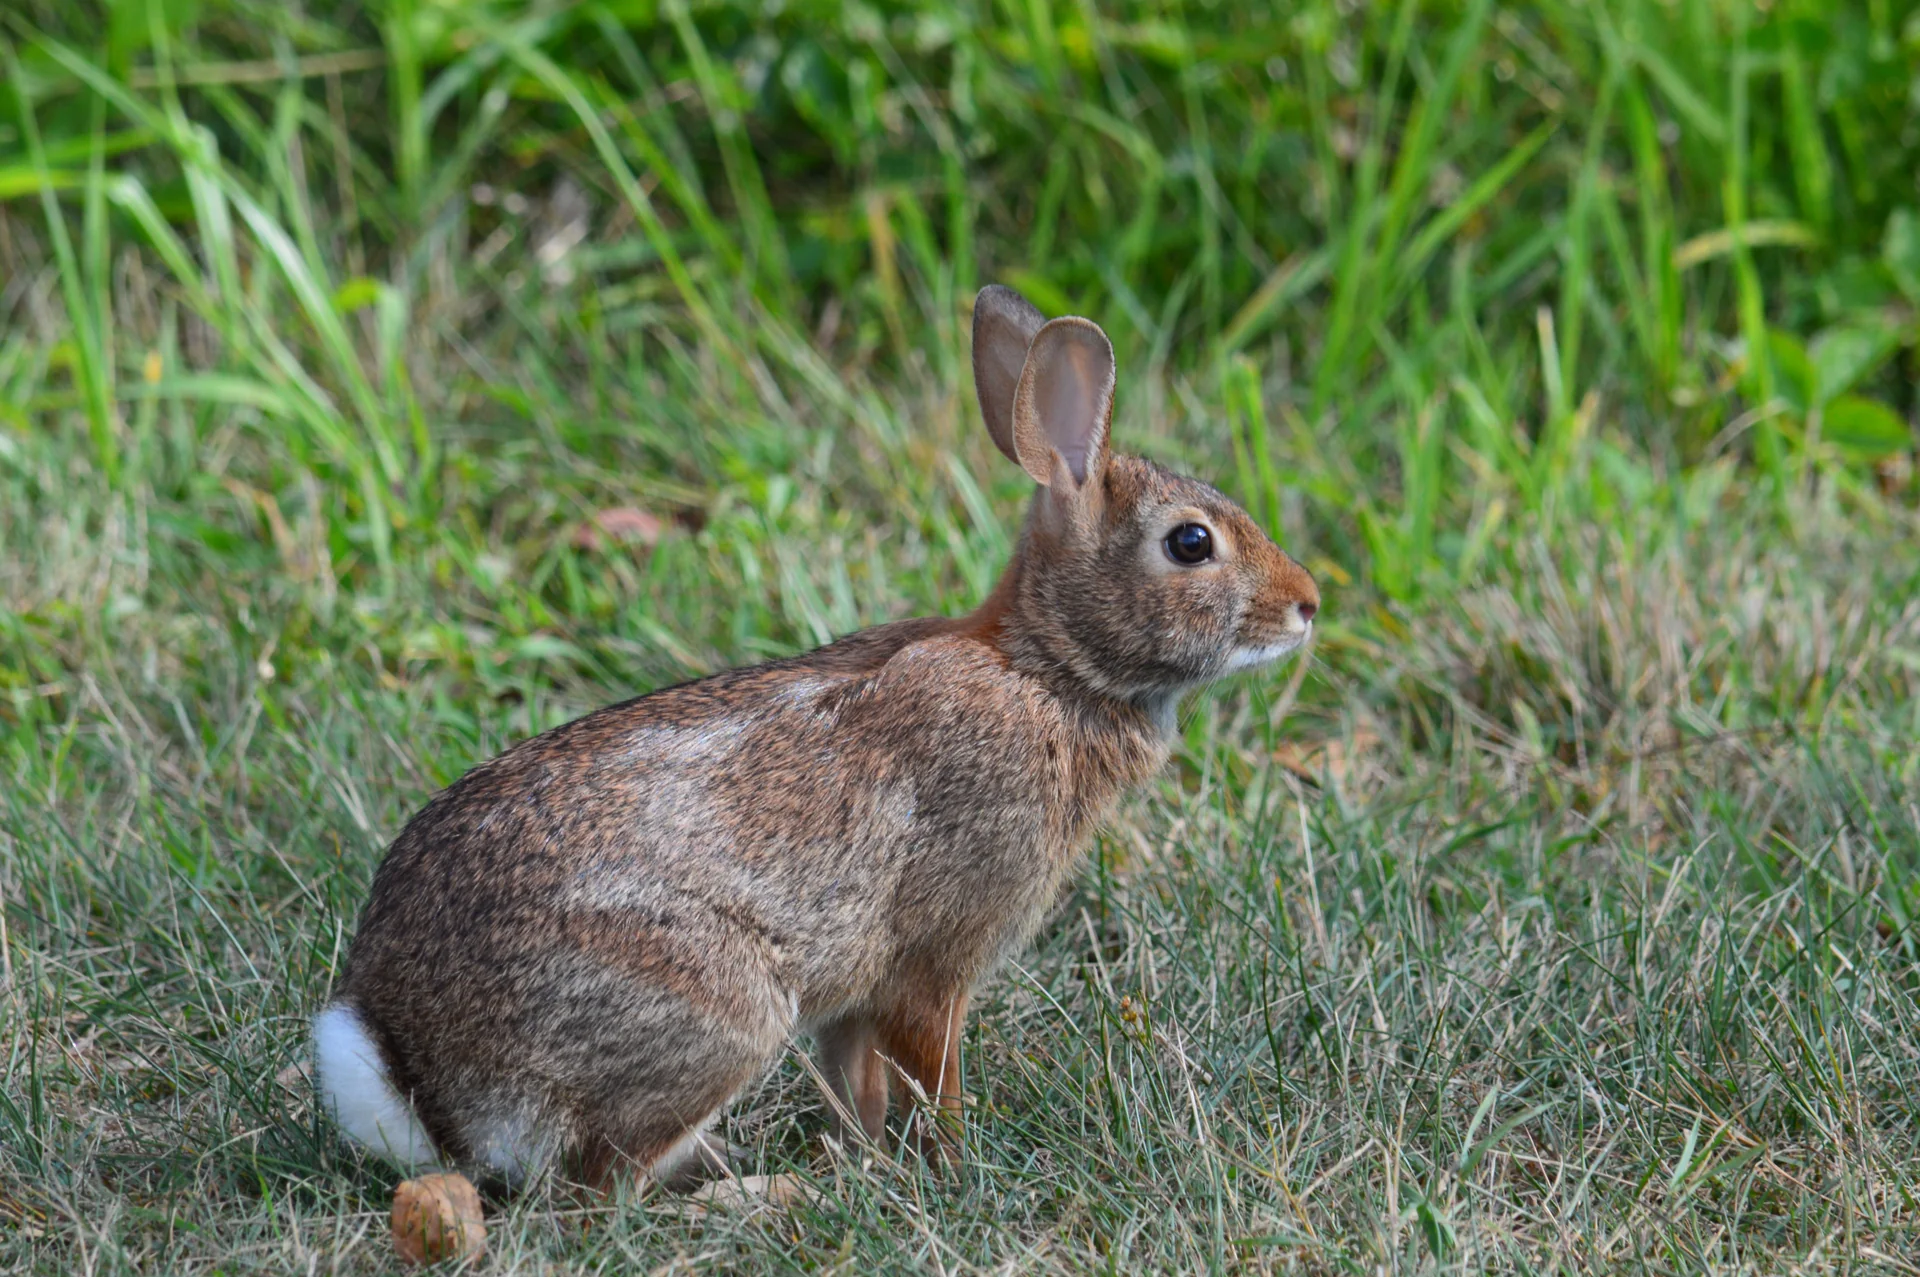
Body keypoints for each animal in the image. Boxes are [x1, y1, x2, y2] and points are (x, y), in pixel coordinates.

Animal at [311, 285, 1321, 1192]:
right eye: (1191, 543)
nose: (1308, 604)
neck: (1049, 672)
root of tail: (424, 1081)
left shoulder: (860, 995)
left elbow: (858, 1078)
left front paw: (869, 1158)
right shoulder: (935, 962)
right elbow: (932, 1071)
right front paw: (950, 1165)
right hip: (718, 1010)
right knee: (600, 1189)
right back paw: (757, 1195)